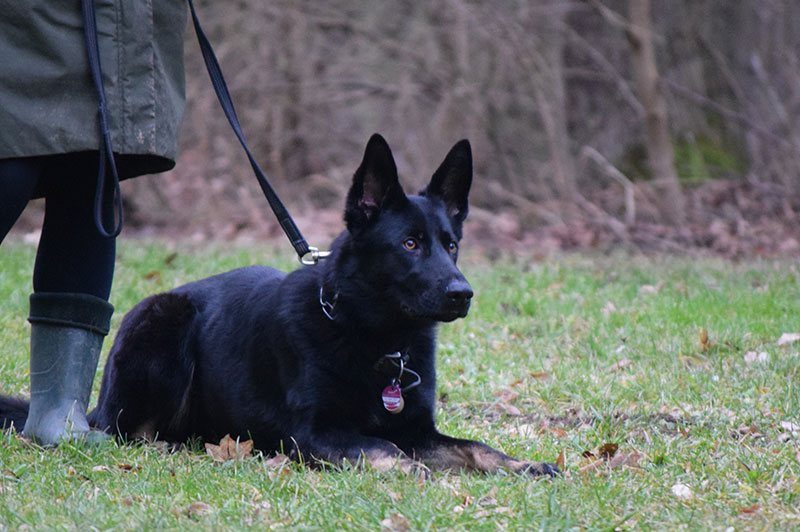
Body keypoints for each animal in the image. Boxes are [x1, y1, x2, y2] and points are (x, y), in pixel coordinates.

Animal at [1, 134, 556, 478]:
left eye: (451, 244)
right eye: (410, 244)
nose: (463, 294)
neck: (369, 337)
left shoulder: (420, 429)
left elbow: (475, 447)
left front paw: (523, 465)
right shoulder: (314, 433)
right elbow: (381, 446)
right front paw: (411, 469)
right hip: (163, 323)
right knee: (131, 433)